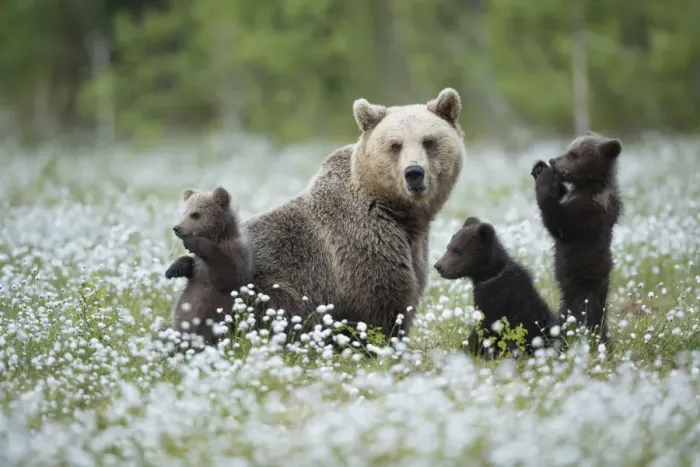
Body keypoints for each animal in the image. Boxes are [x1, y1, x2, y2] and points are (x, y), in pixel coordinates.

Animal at [164, 185, 253, 345]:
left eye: (195, 214)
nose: (176, 228)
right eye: (184, 213)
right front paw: (174, 269)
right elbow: (190, 266)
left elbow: (226, 276)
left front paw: (195, 242)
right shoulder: (199, 266)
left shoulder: (236, 255)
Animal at [239, 88, 466, 341]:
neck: (399, 213)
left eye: (428, 141)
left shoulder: (414, 248)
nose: (414, 173)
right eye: (395, 145)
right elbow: (382, 304)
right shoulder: (361, 245)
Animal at [434, 216, 558, 357]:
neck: (490, 275)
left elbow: (484, 329)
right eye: (448, 247)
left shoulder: (499, 301)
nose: (438, 266)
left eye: (458, 250)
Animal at [531, 131, 623, 345]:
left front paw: (545, 180)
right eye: (568, 150)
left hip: (584, 291)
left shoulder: (588, 213)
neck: (588, 185)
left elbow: (558, 223)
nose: (553, 160)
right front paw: (539, 168)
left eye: (573, 154)